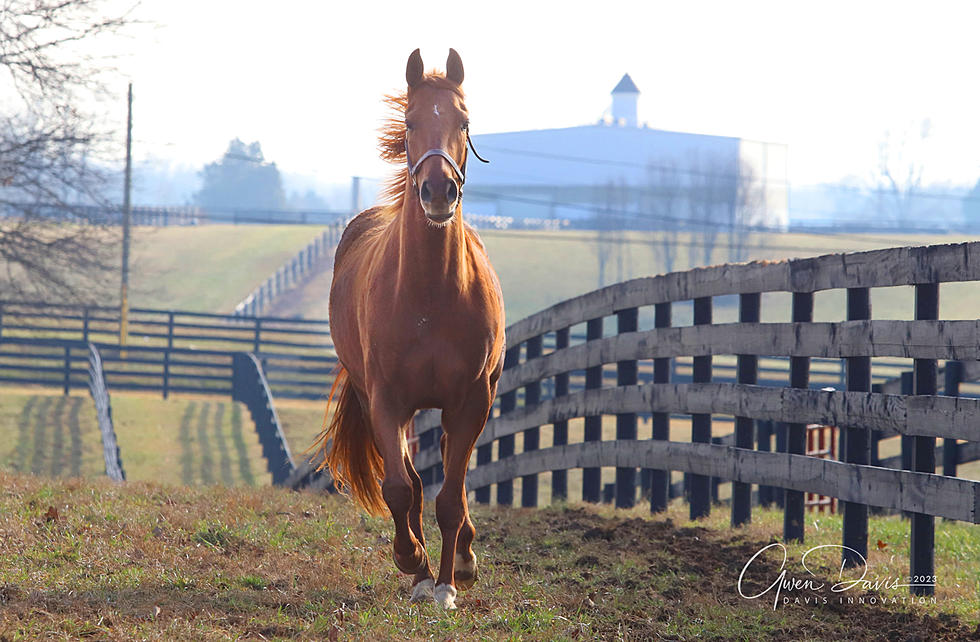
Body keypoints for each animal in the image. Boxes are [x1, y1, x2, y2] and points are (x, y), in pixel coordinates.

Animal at [310, 48, 502, 604]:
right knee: (414, 481)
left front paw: (448, 583)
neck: (430, 296)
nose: (439, 191)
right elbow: (401, 487)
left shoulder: (471, 400)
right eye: (411, 121)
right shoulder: (386, 400)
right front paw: (413, 563)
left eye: (464, 121)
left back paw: (460, 560)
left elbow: (451, 497)